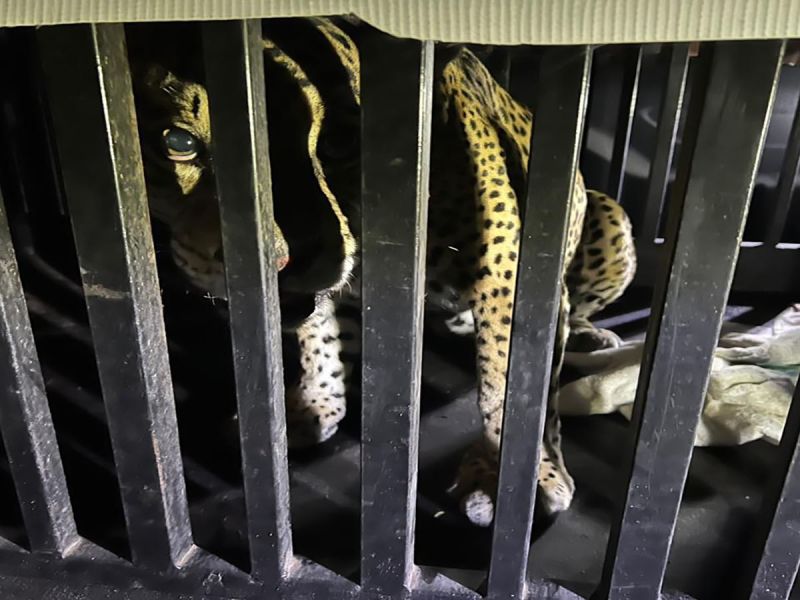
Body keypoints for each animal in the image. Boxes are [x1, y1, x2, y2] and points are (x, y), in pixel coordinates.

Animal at [126, 16, 636, 527]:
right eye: (179, 143)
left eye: (340, 142)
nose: (284, 259)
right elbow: (322, 336)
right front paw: (316, 402)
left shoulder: (508, 277)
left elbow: (510, 382)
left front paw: (510, 475)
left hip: (610, 216)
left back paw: (590, 337)